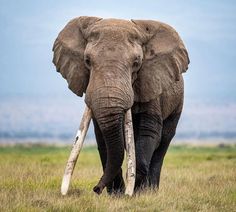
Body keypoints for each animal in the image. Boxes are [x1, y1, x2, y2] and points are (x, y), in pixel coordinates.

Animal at [52, 16, 190, 195]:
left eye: (137, 63)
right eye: (87, 61)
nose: (95, 188)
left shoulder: (151, 82)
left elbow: (149, 131)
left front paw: (136, 193)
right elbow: (103, 137)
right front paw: (116, 195)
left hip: (177, 102)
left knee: (164, 141)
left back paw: (151, 191)